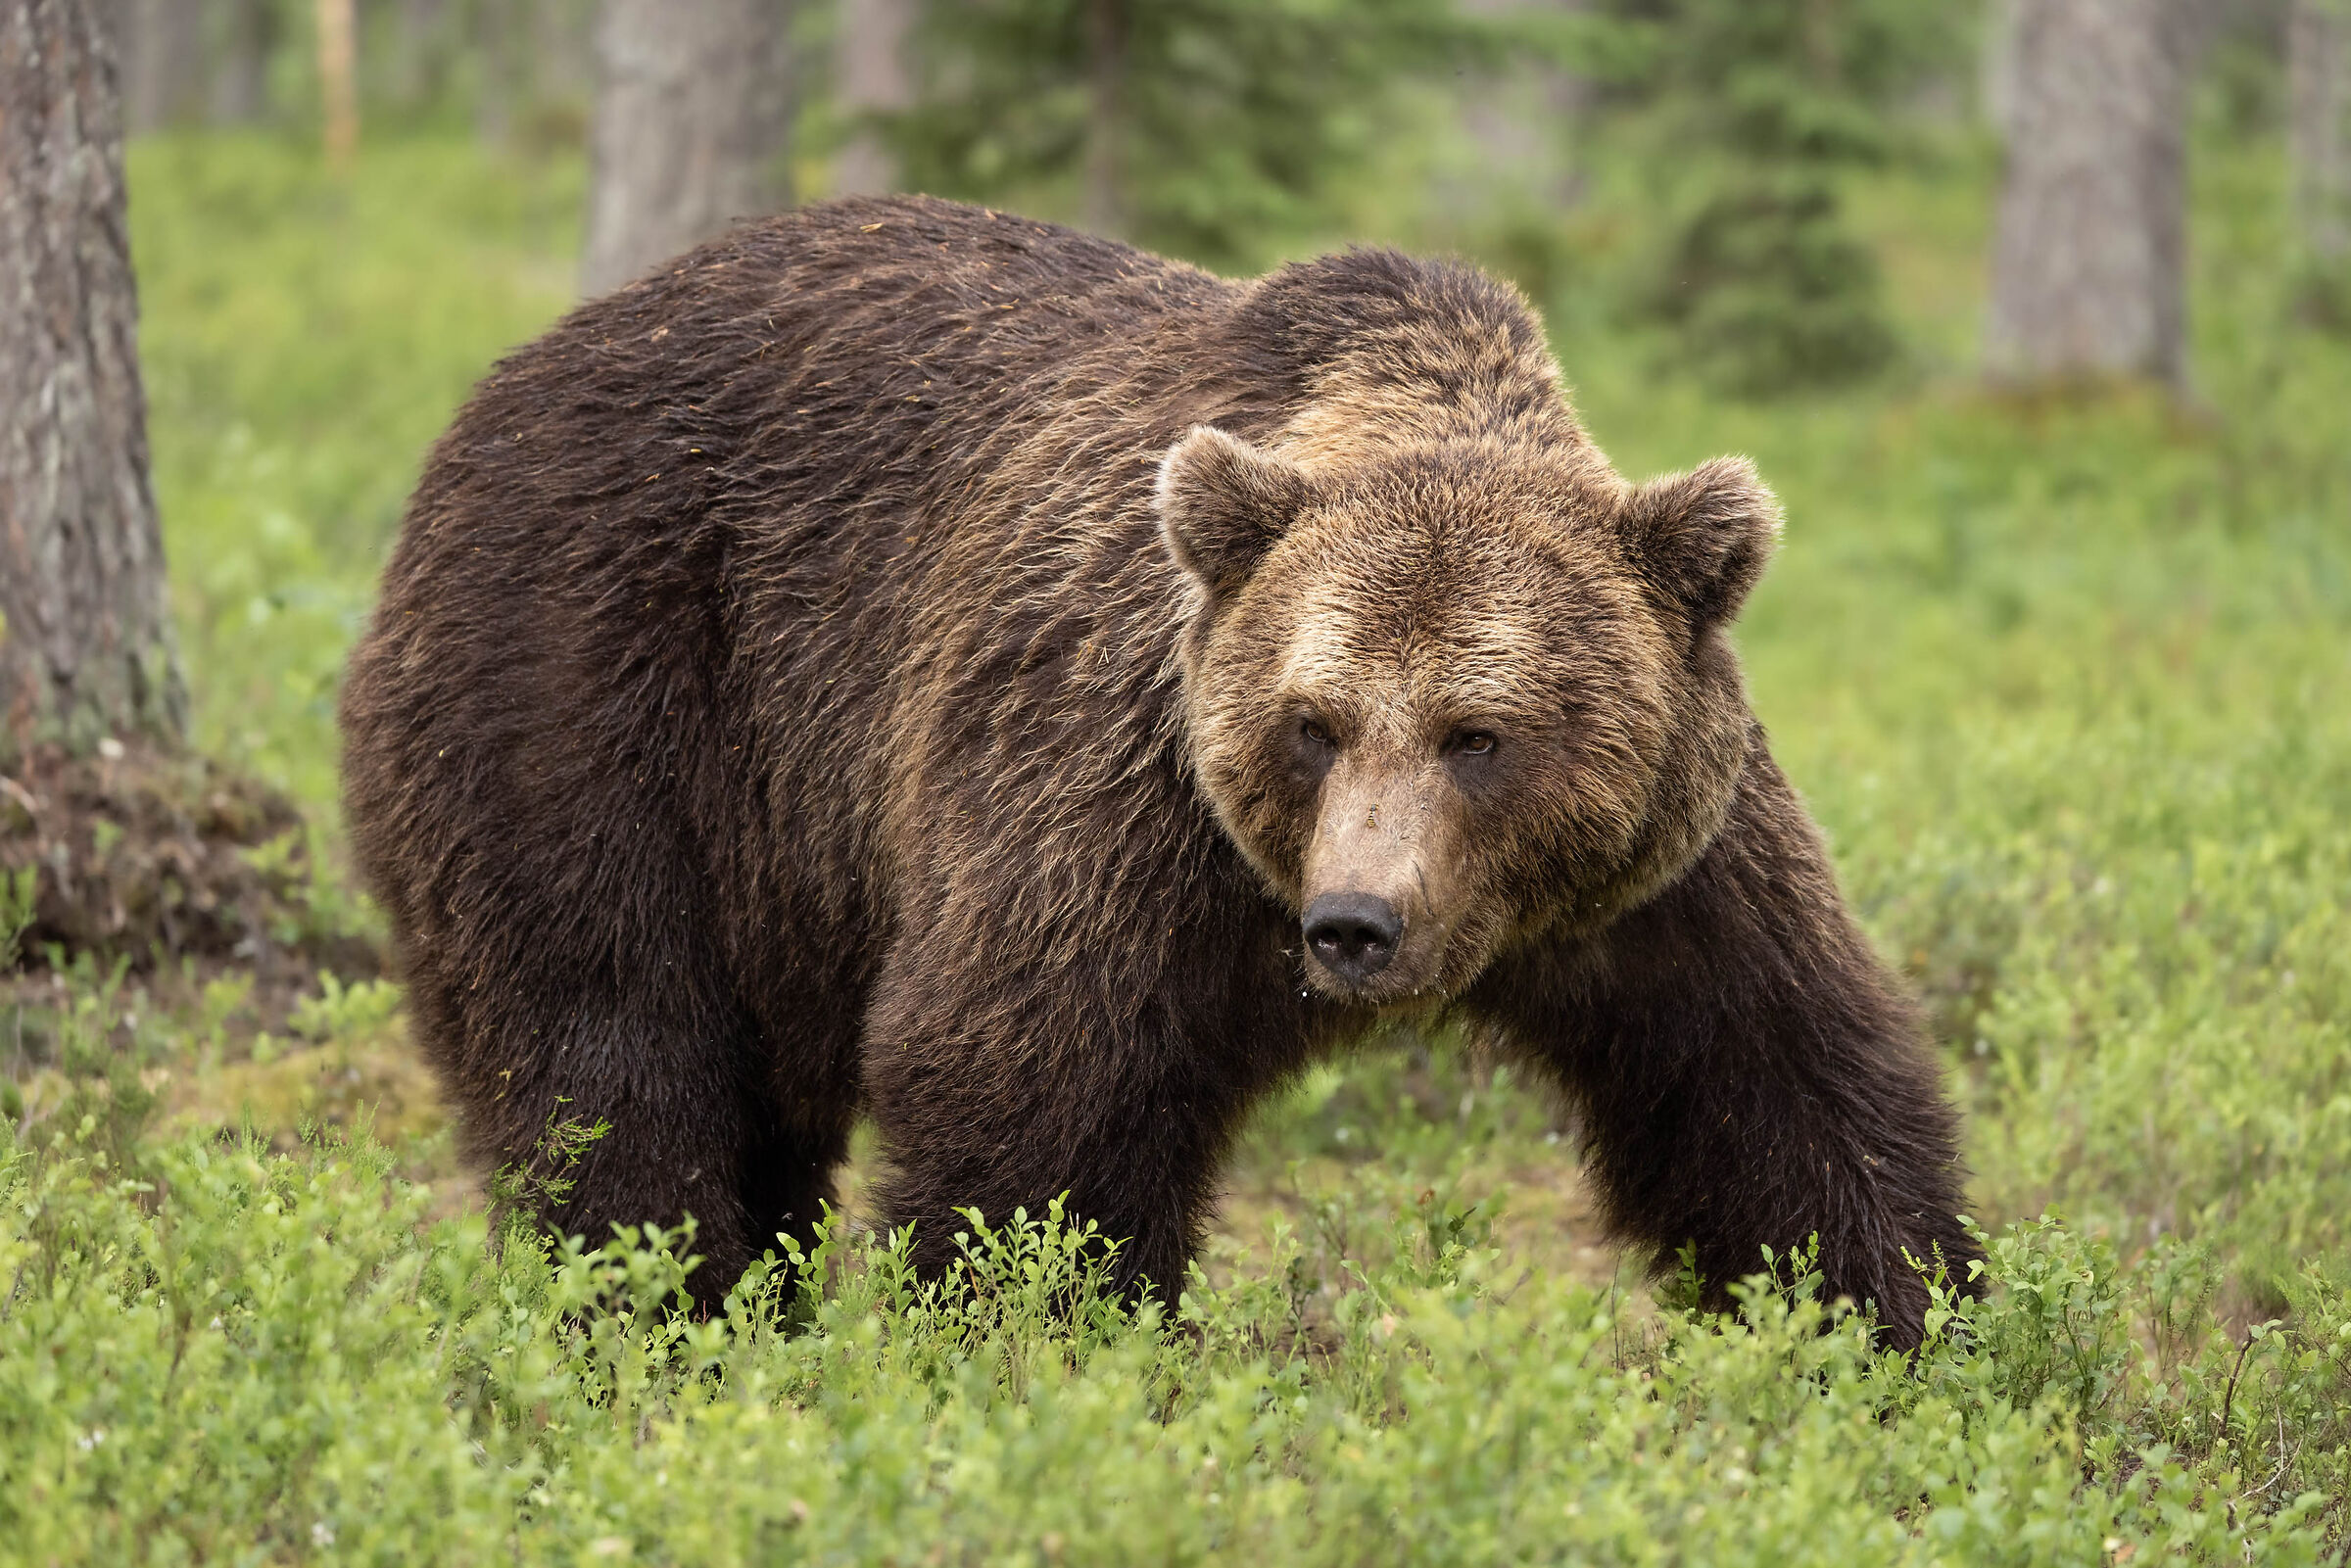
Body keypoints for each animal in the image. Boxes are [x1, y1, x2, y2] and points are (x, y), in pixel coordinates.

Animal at [340, 194, 1977, 1346]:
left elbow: (1781, 1086)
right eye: (1314, 721)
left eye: (1483, 735)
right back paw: (656, 1327)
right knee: (612, 1051)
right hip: (601, 684)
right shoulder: (1116, 791)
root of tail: (510, 381)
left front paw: (1914, 1334)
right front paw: (1049, 1354)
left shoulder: (1660, 869)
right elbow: (1030, 1099)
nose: (1357, 927)